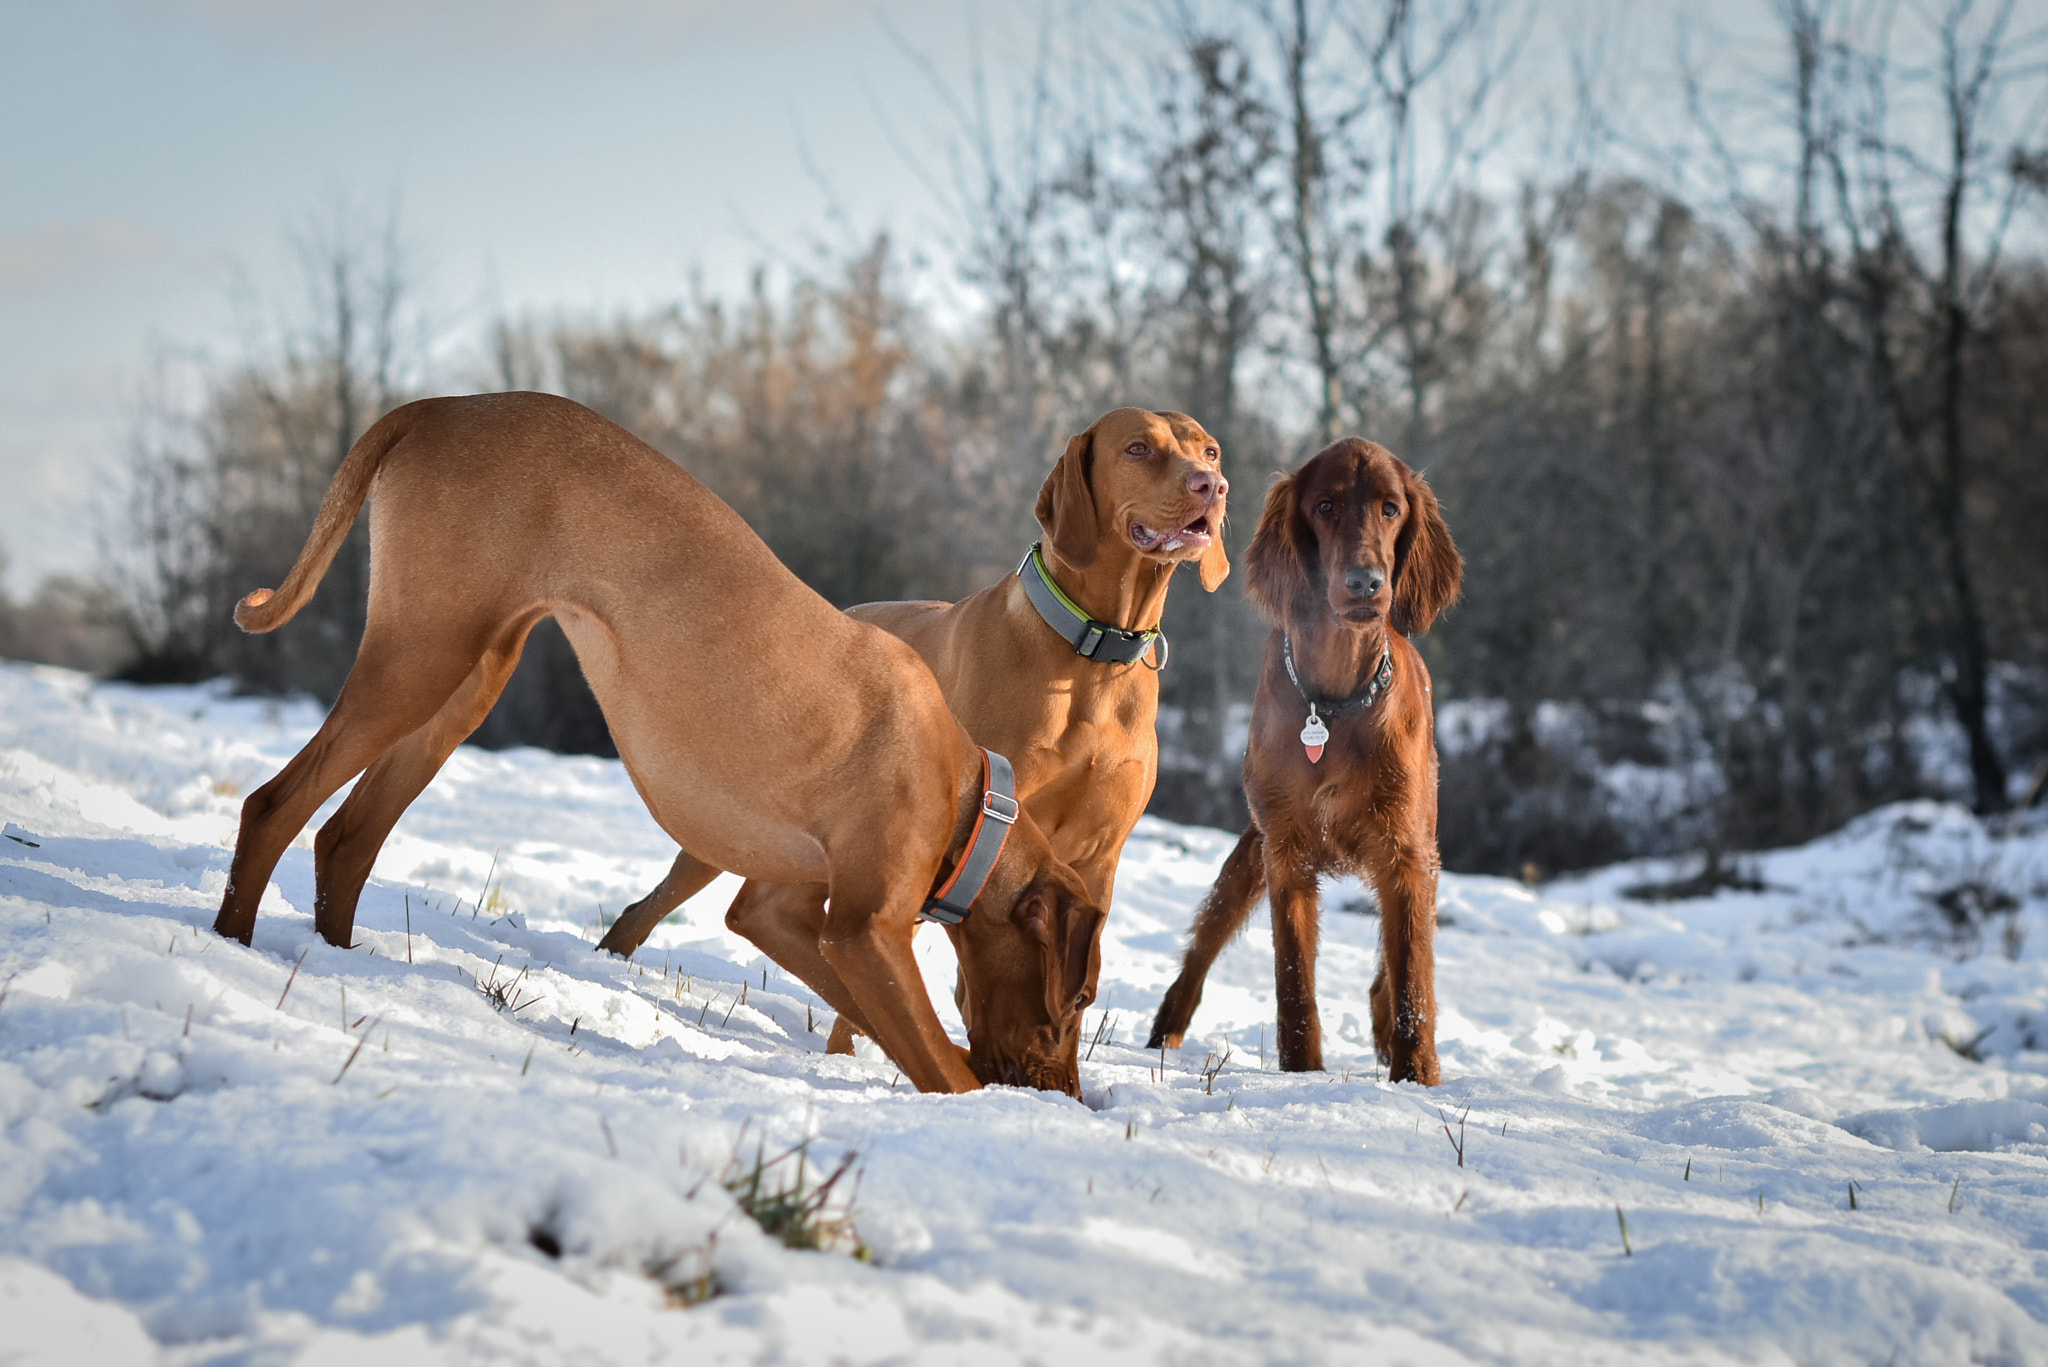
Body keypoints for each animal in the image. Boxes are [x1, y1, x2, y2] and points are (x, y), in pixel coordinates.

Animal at [209, 389, 1105, 1098]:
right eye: (1081, 1000)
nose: (1067, 1093)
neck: (970, 795)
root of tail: (439, 405)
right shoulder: (865, 929)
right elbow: (942, 1063)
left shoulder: (783, 913)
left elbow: (890, 1025)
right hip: (421, 653)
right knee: (273, 803)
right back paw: (231, 945)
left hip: (467, 680)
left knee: (347, 834)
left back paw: (340, 961)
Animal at [598, 405, 1228, 1082]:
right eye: (1138, 448)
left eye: (1210, 451)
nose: (1212, 487)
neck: (1095, 659)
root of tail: (848, 610)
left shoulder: (1096, 860)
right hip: (742, 820)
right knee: (655, 903)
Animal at [1155, 444, 1458, 1082]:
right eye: (1324, 506)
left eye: (1391, 508)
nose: (1366, 583)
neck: (1334, 703)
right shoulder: (1285, 852)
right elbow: (1292, 978)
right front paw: (1302, 1073)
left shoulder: (1407, 855)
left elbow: (1413, 978)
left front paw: (1417, 1077)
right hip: (1249, 857)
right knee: (1203, 944)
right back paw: (1164, 1029)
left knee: (1397, 963)